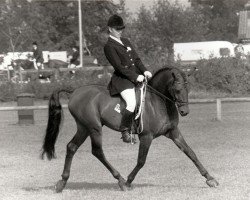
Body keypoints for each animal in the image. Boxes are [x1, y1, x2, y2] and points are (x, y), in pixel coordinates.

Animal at [41, 66, 219, 192]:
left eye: (188, 89)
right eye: (177, 90)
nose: (184, 112)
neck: (159, 102)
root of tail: (75, 91)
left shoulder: (173, 132)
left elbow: (191, 153)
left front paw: (210, 179)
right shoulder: (146, 136)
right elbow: (141, 161)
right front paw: (128, 181)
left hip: (83, 128)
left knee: (71, 147)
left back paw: (62, 182)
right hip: (94, 127)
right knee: (97, 151)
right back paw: (120, 180)